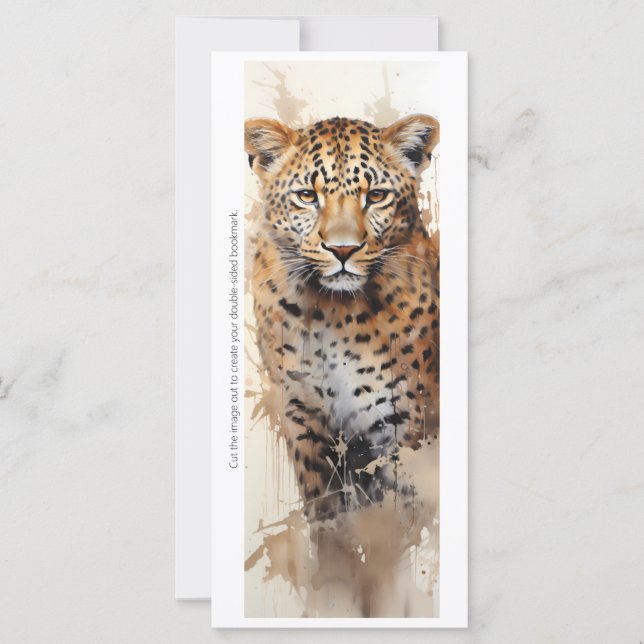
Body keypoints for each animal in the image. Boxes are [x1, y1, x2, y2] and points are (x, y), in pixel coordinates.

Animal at [244, 114, 440, 527]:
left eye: (376, 196)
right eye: (307, 196)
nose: (343, 250)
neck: (332, 313)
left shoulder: (404, 424)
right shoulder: (303, 419)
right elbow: (327, 516)